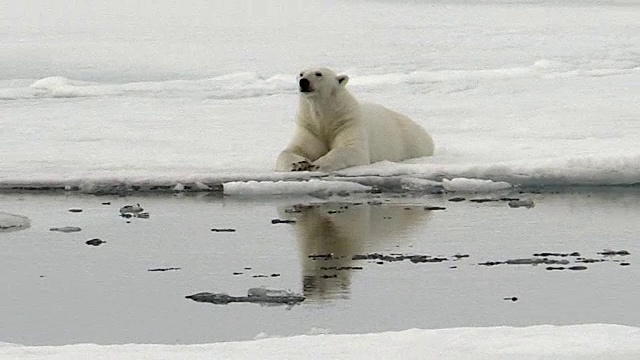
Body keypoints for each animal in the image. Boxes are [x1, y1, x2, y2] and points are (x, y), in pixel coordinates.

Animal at [276, 68, 436, 173]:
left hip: (411, 143)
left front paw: (317, 164)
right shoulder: (310, 126)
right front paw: (299, 164)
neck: (325, 116)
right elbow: (294, 149)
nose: (303, 82)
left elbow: (352, 149)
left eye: (318, 73)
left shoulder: (348, 121)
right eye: (301, 74)